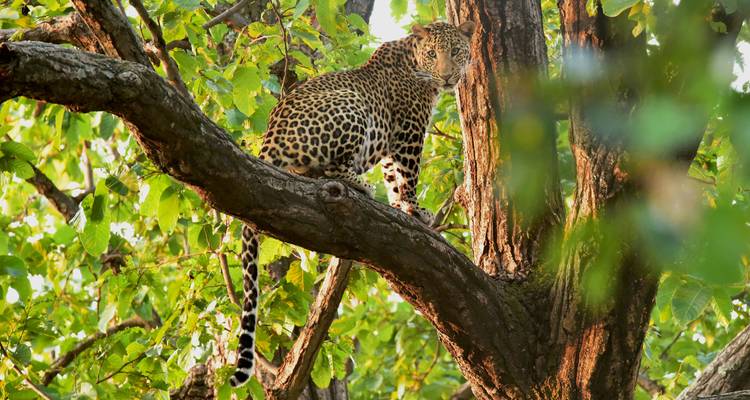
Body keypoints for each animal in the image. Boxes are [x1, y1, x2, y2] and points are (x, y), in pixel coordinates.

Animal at [229, 20, 476, 387]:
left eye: (457, 52)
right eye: (433, 54)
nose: (447, 77)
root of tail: (270, 138)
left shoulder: (391, 144)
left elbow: (394, 179)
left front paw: (401, 208)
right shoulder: (409, 131)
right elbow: (409, 176)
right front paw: (415, 209)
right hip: (351, 103)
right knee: (326, 170)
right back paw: (359, 184)